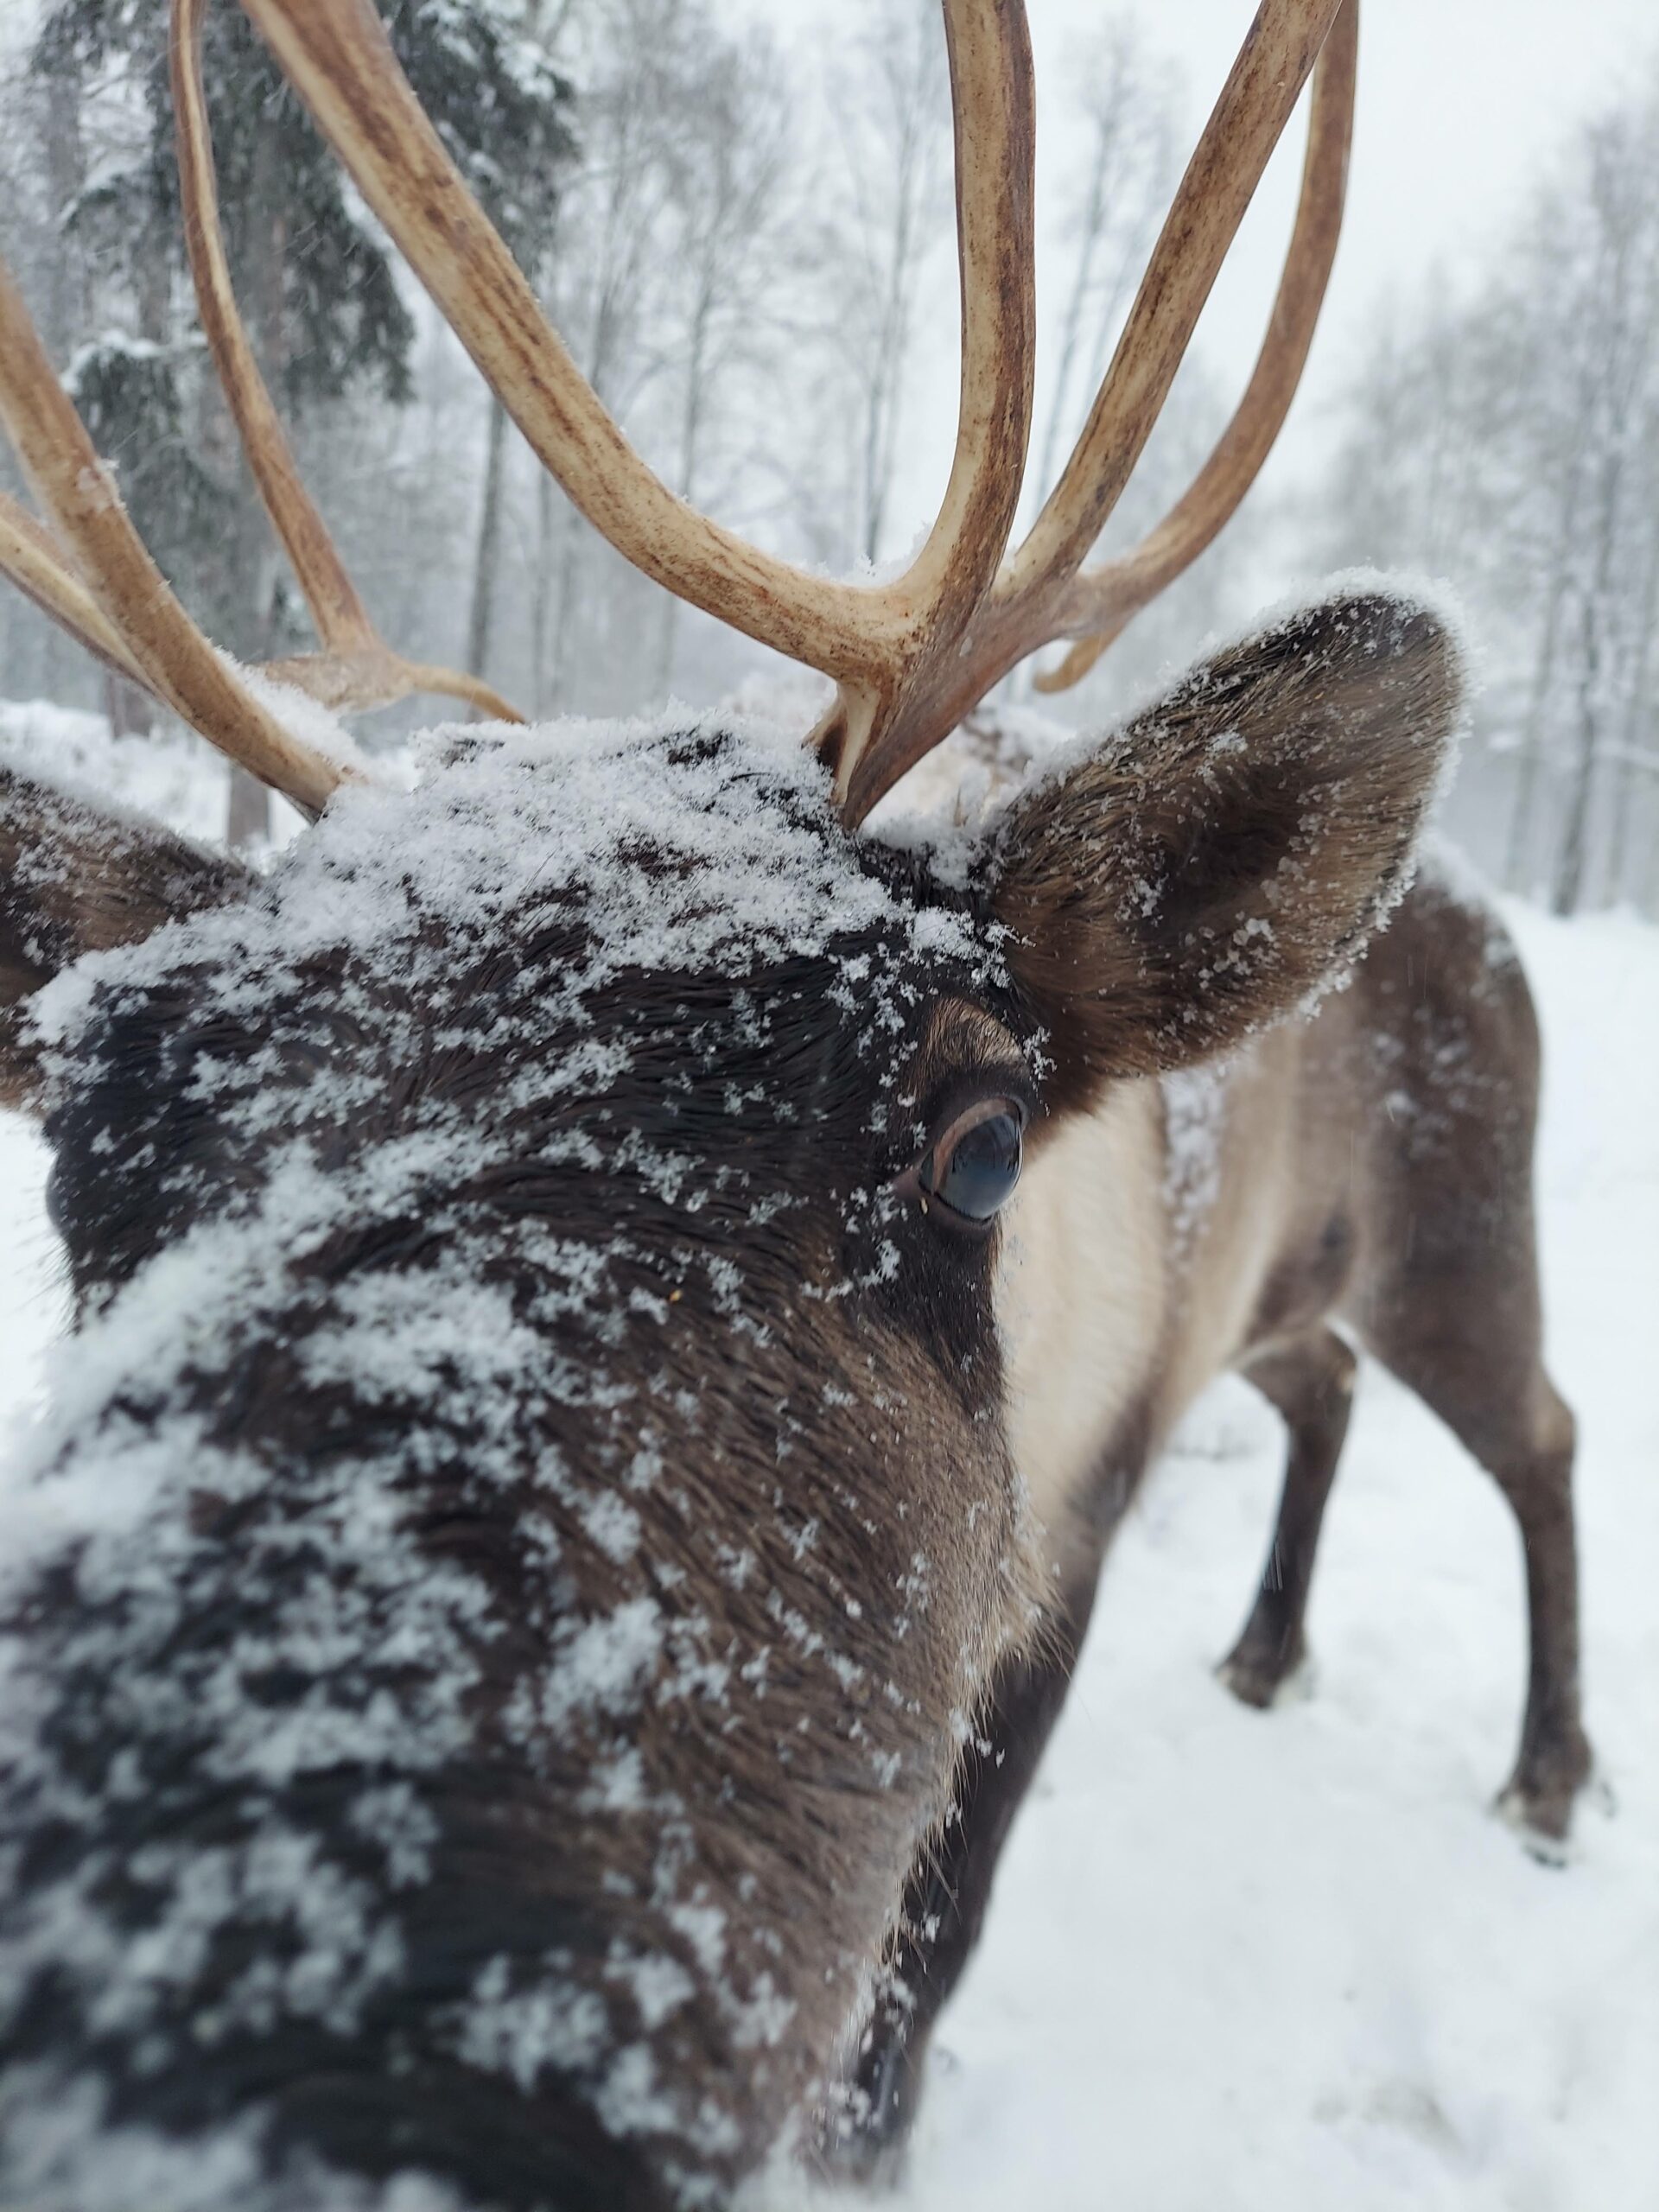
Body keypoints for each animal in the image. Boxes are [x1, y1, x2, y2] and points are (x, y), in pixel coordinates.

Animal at [0, 0, 1592, 2204]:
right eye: (84, 1143)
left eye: (978, 1139)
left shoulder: (1067, 1531)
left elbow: (932, 1958)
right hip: (1293, 1292)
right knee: (1326, 1388)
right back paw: (1272, 1648)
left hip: (1458, 1239)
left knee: (1542, 1430)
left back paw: (1547, 1773)